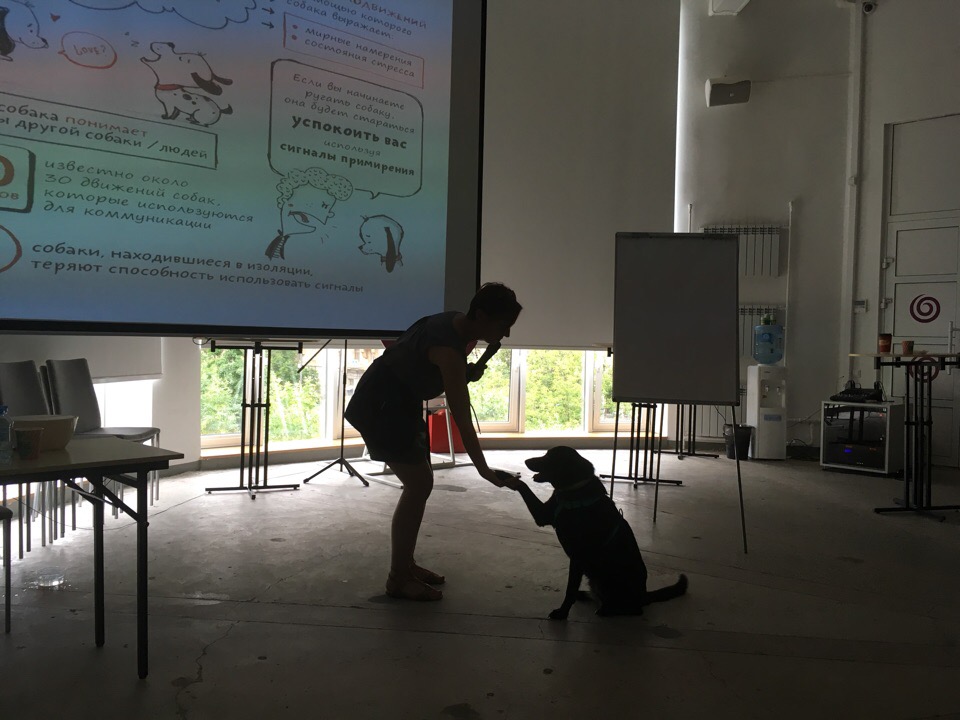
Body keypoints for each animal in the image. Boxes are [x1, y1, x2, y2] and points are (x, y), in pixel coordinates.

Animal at [508, 446, 687, 620]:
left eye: (549, 457)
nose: (526, 460)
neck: (575, 488)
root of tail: (644, 595)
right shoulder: (543, 515)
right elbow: (524, 486)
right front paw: (507, 477)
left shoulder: (578, 557)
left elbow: (570, 588)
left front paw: (562, 613)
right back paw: (587, 596)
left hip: (610, 579)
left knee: (635, 609)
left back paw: (606, 609)